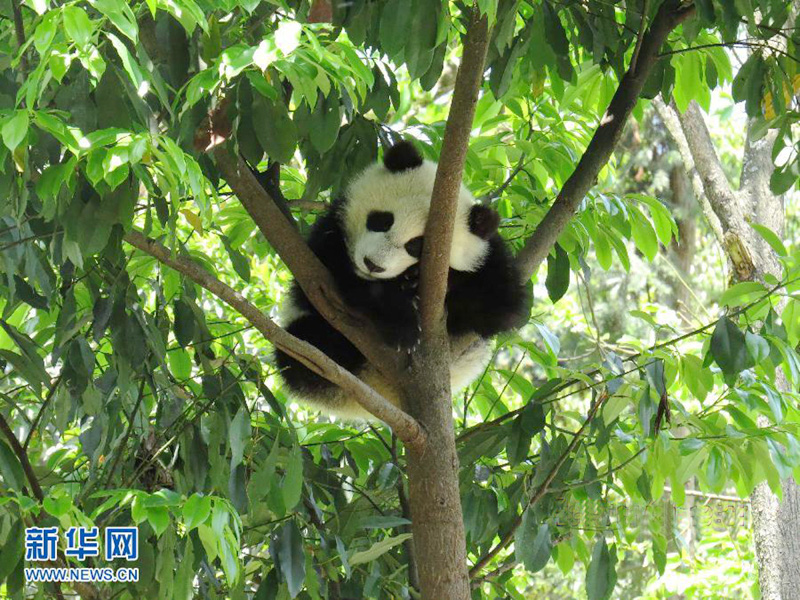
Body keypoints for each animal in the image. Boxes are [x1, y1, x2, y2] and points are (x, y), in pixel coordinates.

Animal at [276, 142, 532, 420]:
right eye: (382, 220)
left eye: (416, 245)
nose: (372, 264)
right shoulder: (328, 237)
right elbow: (332, 276)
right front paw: (403, 327)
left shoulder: (490, 257)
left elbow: (501, 308)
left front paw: (420, 280)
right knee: (303, 346)